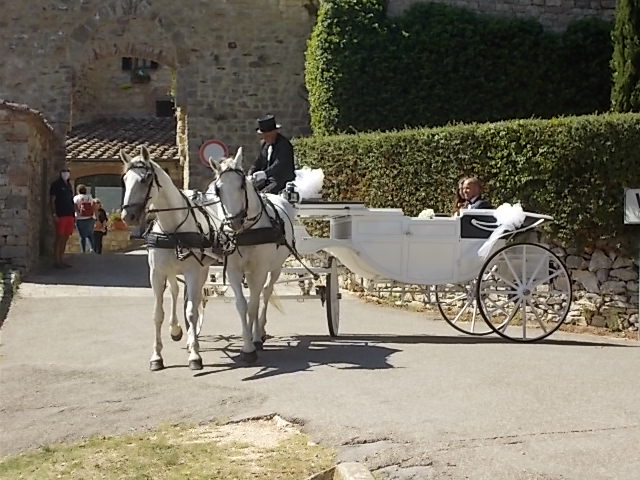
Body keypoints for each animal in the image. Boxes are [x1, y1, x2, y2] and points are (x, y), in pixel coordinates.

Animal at [120, 146, 223, 371]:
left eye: (145, 179)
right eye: (124, 179)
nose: (127, 217)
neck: (172, 229)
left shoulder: (193, 271)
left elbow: (191, 311)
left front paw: (194, 354)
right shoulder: (156, 273)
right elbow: (157, 313)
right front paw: (156, 356)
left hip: (201, 269)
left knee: (196, 299)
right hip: (171, 270)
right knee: (175, 292)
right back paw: (176, 329)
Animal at [206, 148, 297, 363]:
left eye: (241, 185)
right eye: (218, 190)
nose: (235, 222)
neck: (246, 232)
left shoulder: (261, 269)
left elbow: (254, 303)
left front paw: (252, 343)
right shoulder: (233, 270)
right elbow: (242, 305)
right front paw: (246, 343)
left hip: (275, 268)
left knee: (265, 293)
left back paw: (259, 332)